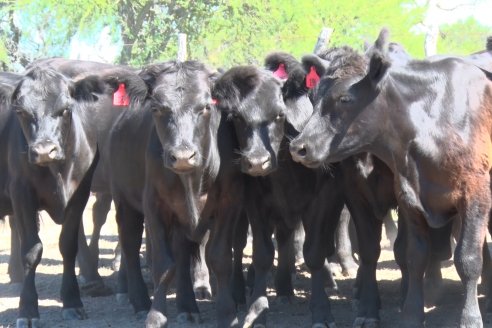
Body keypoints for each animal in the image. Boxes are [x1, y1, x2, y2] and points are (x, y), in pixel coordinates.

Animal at [0, 62, 146, 326]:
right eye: (21, 112)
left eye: (65, 109)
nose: (44, 150)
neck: (57, 170)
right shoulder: (21, 193)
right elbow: (31, 251)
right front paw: (28, 310)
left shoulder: (79, 194)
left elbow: (68, 245)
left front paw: (72, 301)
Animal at [109, 60, 244, 326]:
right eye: (157, 108)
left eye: (205, 106)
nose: (182, 156)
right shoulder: (154, 205)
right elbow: (163, 265)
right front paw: (156, 316)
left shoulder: (229, 204)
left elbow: (220, 259)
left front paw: (227, 314)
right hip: (124, 200)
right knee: (130, 245)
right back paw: (140, 302)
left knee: (182, 253)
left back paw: (187, 306)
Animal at [290, 36, 492, 328]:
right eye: (312, 97)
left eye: (345, 98)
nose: (299, 147)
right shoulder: (402, 197)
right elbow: (411, 255)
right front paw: (406, 313)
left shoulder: (475, 196)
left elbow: (468, 259)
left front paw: (470, 318)